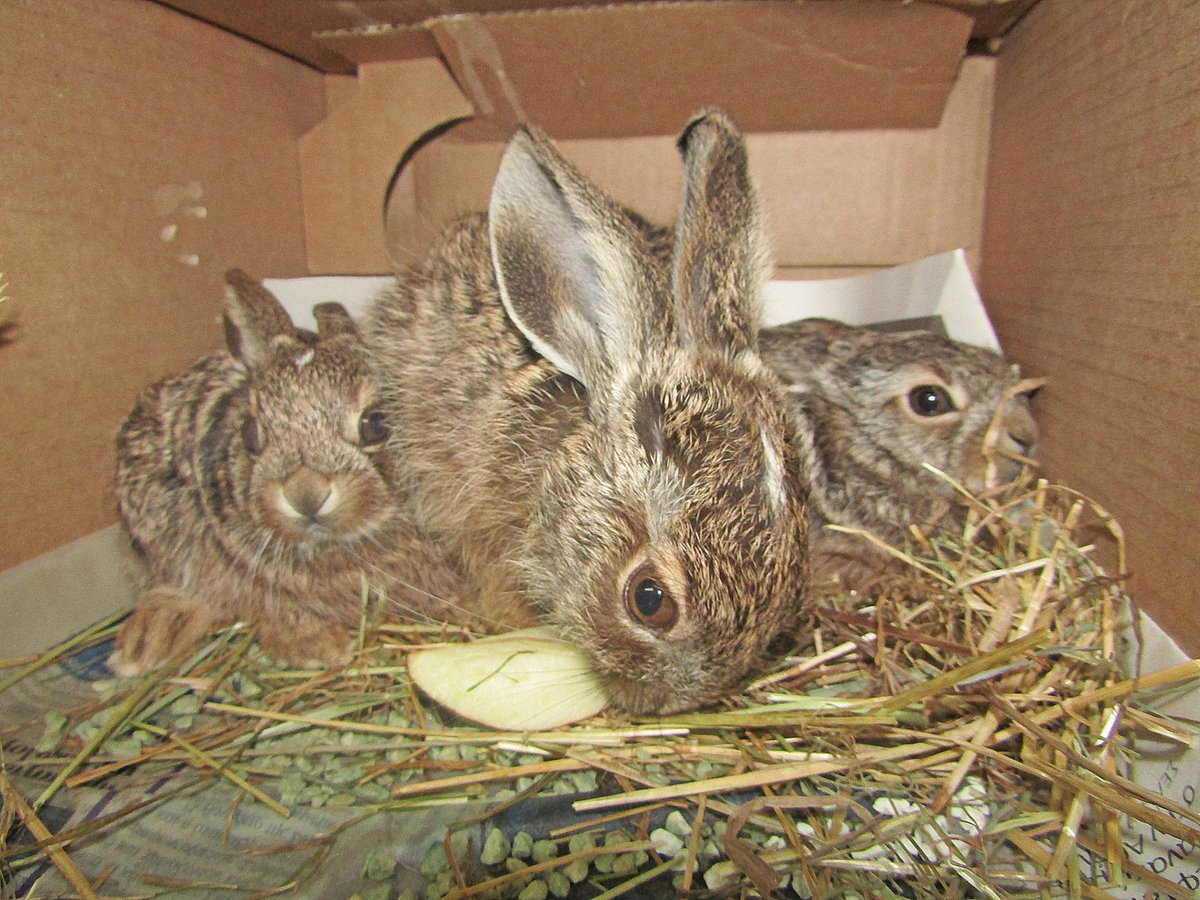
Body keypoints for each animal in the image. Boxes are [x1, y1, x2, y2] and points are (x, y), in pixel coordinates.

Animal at [109, 270, 465, 676]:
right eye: (250, 433)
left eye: (376, 423)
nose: (305, 493)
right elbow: (263, 604)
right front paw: (320, 647)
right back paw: (146, 643)